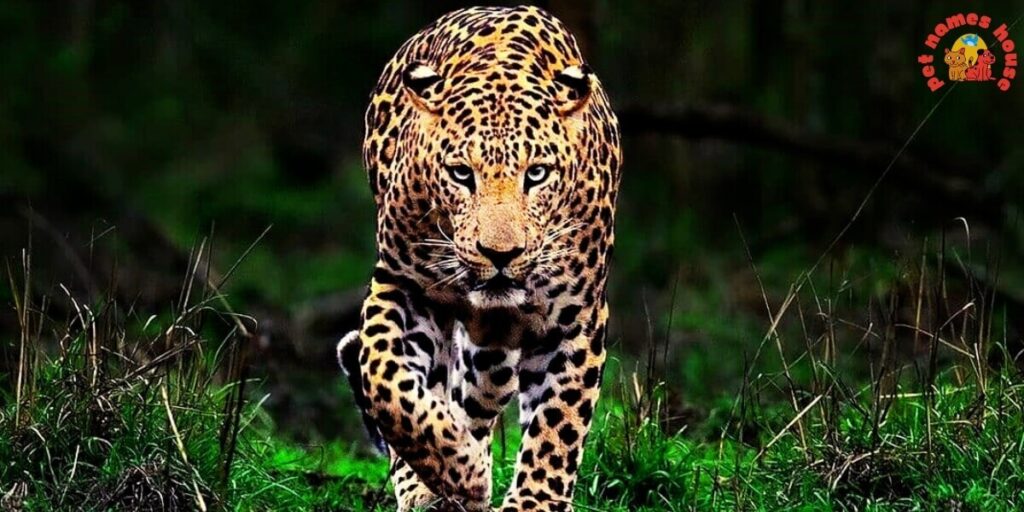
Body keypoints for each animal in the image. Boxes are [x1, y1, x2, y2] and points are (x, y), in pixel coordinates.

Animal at [336, 6, 621, 511]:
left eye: (537, 174)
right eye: (461, 174)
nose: (500, 254)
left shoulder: (576, 318)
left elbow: (557, 428)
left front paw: (532, 504)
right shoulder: (402, 284)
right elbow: (384, 377)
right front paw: (461, 471)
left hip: (492, 355)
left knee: (476, 399)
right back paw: (431, 484)